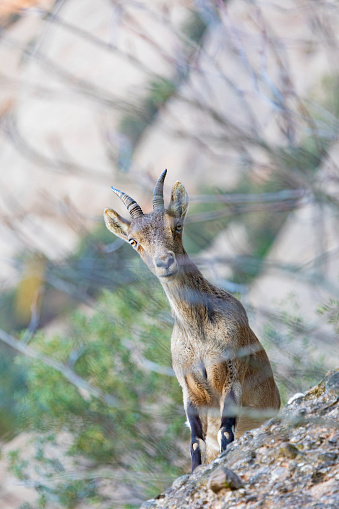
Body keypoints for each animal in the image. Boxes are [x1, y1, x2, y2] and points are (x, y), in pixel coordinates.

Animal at [103, 171, 282, 472]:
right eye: (132, 241)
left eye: (176, 226)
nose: (165, 262)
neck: (199, 335)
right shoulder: (189, 389)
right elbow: (195, 442)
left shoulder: (232, 372)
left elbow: (226, 431)